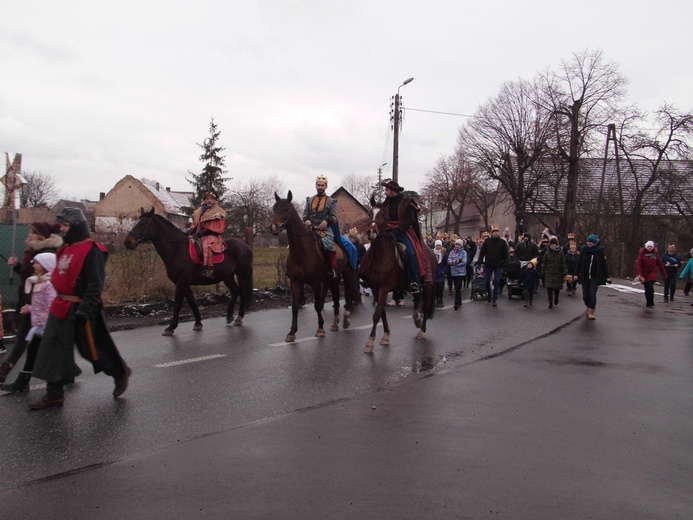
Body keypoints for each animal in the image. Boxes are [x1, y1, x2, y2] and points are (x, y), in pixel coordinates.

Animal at [124, 208, 254, 338]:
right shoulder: (184, 283)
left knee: (242, 292)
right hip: (228, 276)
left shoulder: (181, 283)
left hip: (242, 273)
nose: (127, 242)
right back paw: (229, 316)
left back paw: (239, 318)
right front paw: (198, 323)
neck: (177, 249)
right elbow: (191, 302)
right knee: (235, 290)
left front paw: (171, 327)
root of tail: (244, 244)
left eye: (143, 223)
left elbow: (177, 304)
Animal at [270, 190, 356, 342]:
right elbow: (294, 307)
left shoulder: (315, 282)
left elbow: (317, 305)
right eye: (274, 209)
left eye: (286, 209)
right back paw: (335, 323)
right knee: (336, 298)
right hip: (332, 279)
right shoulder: (295, 282)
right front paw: (292, 332)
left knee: (347, 295)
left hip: (347, 274)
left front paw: (320, 329)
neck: (302, 252)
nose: (273, 227)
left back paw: (345, 320)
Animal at [356, 198, 432, 354]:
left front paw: (370, 342)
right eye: (369, 213)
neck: (380, 256)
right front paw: (385, 336)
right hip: (409, 285)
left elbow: (377, 314)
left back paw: (422, 330)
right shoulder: (375, 288)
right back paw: (416, 319)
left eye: (383, 214)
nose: (371, 232)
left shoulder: (384, 288)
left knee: (426, 306)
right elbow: (382, 313)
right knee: (417, 298)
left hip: (428, 285)